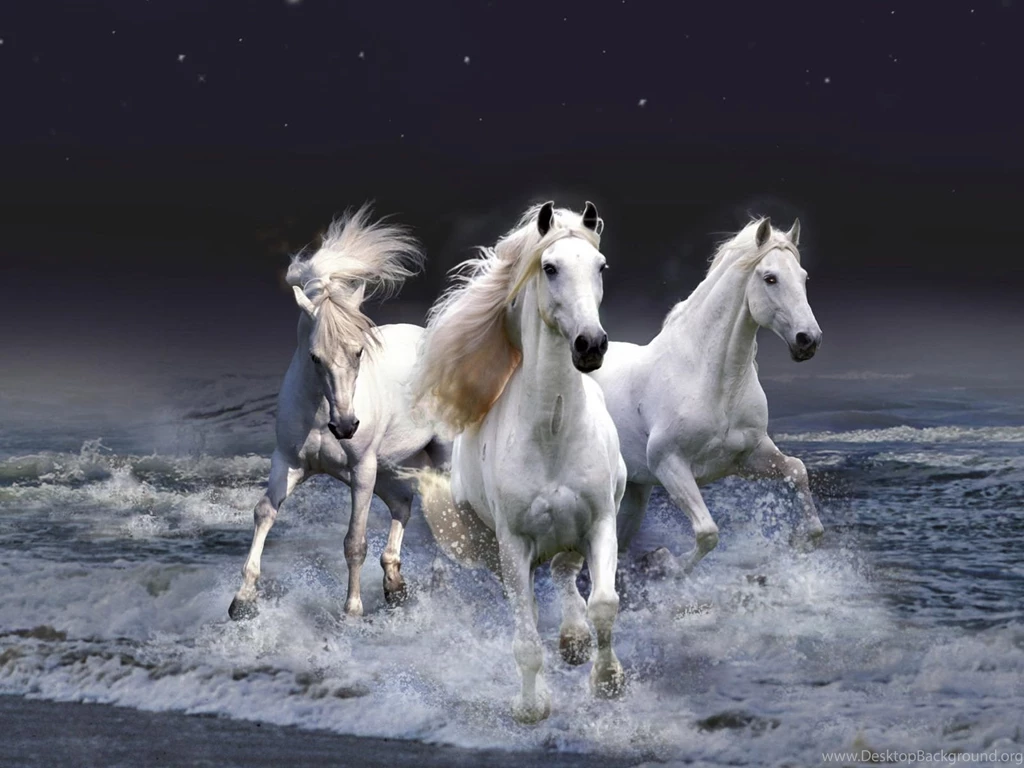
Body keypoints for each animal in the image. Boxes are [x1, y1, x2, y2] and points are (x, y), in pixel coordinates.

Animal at [228, 205, 449, 621]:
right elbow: (264, 512)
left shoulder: (361, 469)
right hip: (390, 466)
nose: (346, 426)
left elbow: (354, 541)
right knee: (403, 503)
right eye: (315, 356)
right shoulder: (289, 462)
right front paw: (242, 600)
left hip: (434, 457)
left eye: (359, 351)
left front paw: (352, 612)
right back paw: (394, 585)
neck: (320, 413)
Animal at [407, 202, 627, 724]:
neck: (552, 433)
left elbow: (604, 603)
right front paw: (531, 707)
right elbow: (526, 638)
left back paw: (574, 641)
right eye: (550, 268)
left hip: (572, 534)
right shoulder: (513, 544)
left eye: (600, 267)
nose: (591, 345)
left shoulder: (600, 521)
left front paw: (608, 681)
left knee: (566, 574)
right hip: (492, 547)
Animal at [588, 217, 824, 578]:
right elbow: (707, 532)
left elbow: (797, 471)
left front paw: (799, 541)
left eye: (804, 277)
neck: (712, 381)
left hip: (635, 492)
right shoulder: (669, 464)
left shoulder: (747, 457)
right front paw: (664, 562)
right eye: (770, 278)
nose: (808, 340)